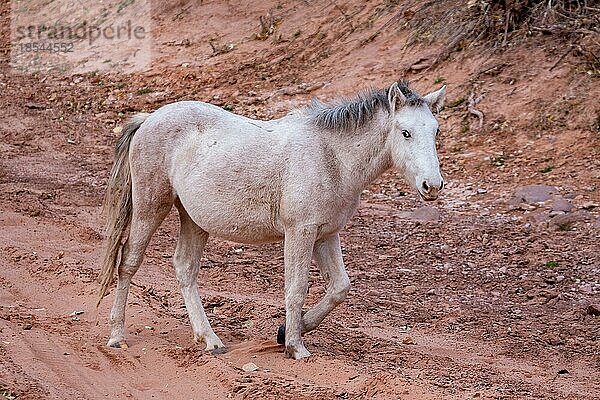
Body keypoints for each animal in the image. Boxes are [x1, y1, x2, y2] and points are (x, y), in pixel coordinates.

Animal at [98, 79, 446, 360]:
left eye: (435, 131)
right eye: (405, 132)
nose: (432, 186)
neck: (332, 156)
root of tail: (149, 119)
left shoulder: (325, 235)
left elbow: (339, 287)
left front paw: (287, 332)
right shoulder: (300, 233)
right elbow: (296, 288)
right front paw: (295, 346)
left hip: (194, 220)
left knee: (185, 268)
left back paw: (210, 340)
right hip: (151, 207)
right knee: (128, 262)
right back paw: (117, 335)